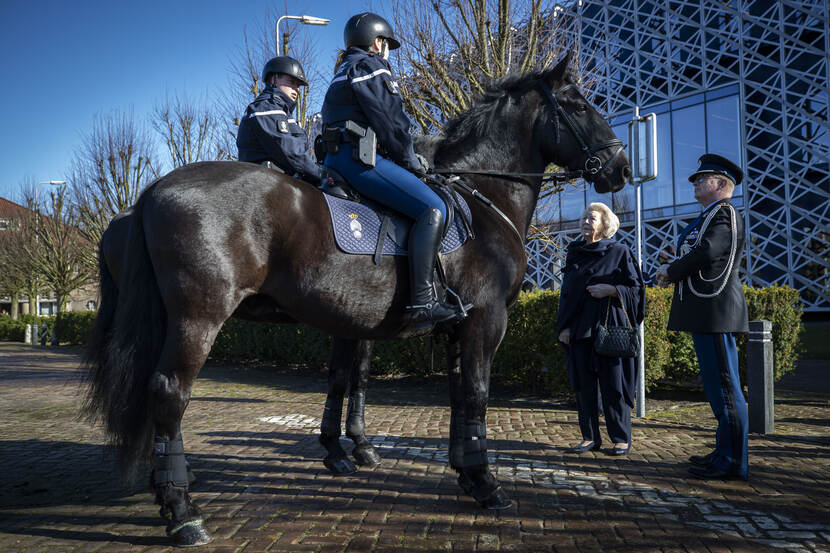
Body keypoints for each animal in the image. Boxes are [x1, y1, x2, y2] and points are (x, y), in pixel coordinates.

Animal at [84, 52, 632, 548]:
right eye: (578, 103)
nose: (621, 166)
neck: (481, 199)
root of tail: (153, 188)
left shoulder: (420, 326)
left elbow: (427, 390)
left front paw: (449, 467)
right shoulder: (484, 321)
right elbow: (474, 394)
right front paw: (484, 484)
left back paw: (168, 489)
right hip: (198, 318)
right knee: (168, 392)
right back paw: (182, 513)